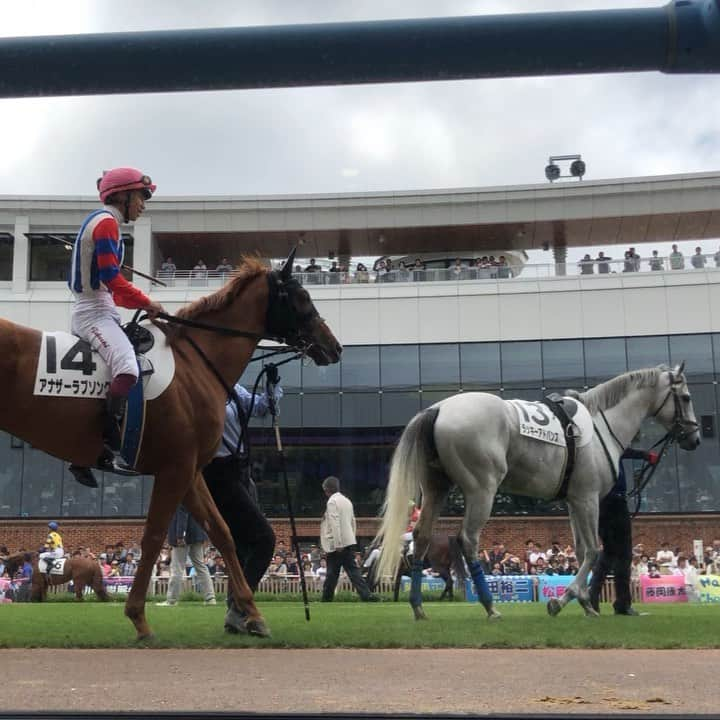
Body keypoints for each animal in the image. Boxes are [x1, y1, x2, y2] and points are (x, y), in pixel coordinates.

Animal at [0, 250, 340, 640]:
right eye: (302, 298)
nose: (334, 346)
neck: (195, 363)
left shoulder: (190, 471)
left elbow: (222, 533)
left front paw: (251, 614)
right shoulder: (174, 469)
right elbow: (152, 538)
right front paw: (139, 617)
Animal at [374, 362, 700, 620]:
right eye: (685, 397)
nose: (694, 438)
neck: (600, 426)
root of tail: (439, 408)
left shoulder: (574, 501)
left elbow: (581, 551)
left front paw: (584, 601)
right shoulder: (588, 498)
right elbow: (593, 551)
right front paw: (564, 599)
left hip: (436, 487)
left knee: (422, 536)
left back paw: (418, 606)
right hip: (482, 490)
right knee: (468, 540)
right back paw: (490, 606)